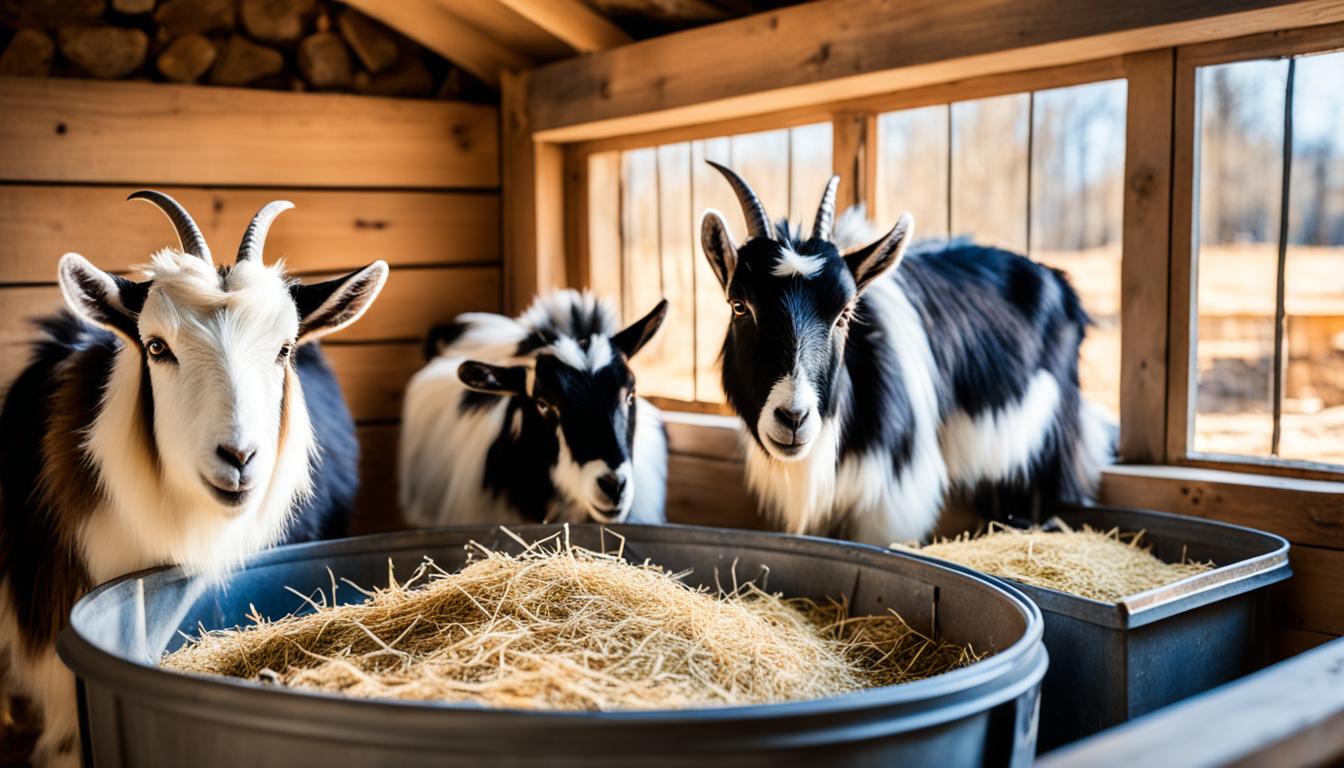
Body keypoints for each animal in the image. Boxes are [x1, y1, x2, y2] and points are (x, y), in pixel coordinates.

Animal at [698, 162, 1107, 546]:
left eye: (845, 313)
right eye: (739, 306)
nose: (794, 418)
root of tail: (1058, 281)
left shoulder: (890, 498)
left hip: (1051, 432)